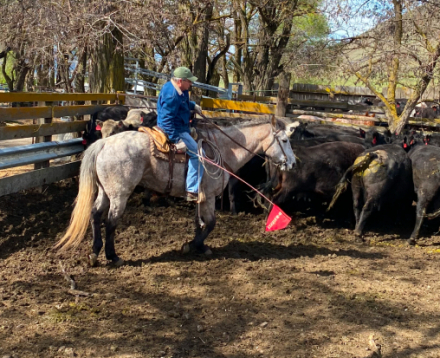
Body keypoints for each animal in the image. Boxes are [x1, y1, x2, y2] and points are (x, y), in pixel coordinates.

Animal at [55, 115, 296, 266]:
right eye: (284, 140)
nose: (292, 163)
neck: (224, 148)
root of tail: (103, 143)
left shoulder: (201, 197)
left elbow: (199, 222)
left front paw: (201, 246)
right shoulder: (209, 196)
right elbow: (211, 223)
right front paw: (191, 246)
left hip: (106, 191)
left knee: (95, 215)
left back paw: (94, 253)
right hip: (119, 194)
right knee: (111, 221)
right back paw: (113, 257)